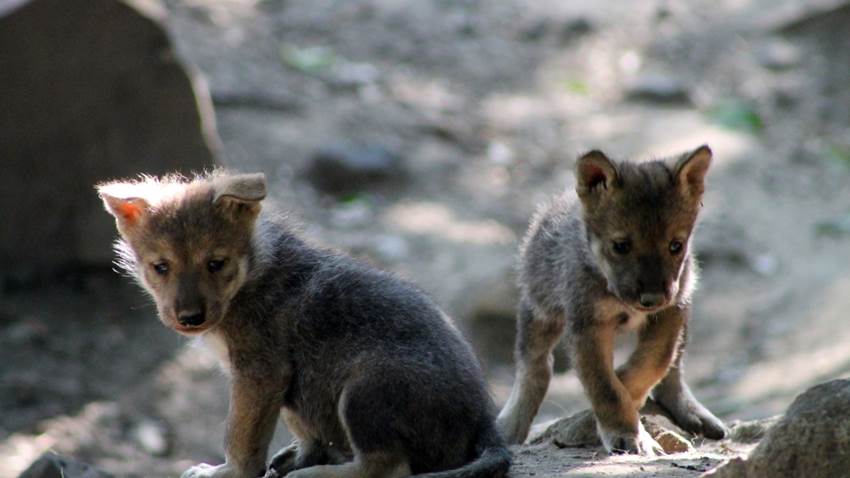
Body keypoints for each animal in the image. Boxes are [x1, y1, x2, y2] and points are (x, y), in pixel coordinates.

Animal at [97, 172, 510, 478]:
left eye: (216, 263)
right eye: (160, 267)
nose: (189, 318)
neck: (251, 277)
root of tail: (485, 421)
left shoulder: (260, 373)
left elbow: (240, 440)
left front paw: (225, 472)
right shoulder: (284, 382)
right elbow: (299, 431)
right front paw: (301, 455)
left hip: (364, 387)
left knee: (386, 467)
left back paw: (317, 475)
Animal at [496, 145, 727, 454]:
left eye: (675, 246)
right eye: (621, 246)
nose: (652, 298)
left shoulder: (670, 312)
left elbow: (653, 362)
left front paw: (627, 390)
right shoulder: (587, 324)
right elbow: (606, 387)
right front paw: (625, 432)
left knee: (674, 371)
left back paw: (693, 412)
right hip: (540, 310)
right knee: (535, 367)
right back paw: (510, 425)